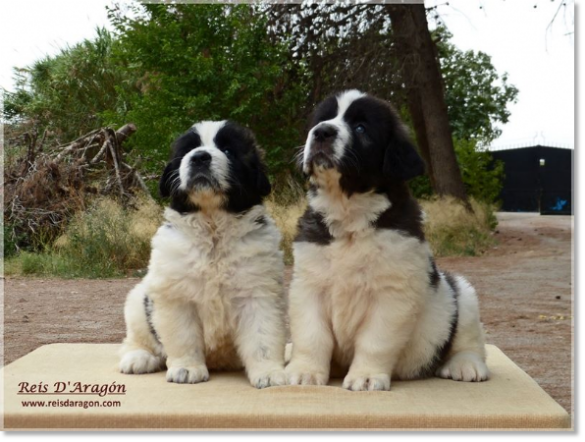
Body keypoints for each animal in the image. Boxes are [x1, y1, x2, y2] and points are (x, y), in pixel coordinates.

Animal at [118, 120, 286, 386]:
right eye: (188, 150)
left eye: (228, 150)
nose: (199, 157)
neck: (213, 227)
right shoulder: (176, 295)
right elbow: (183, 336)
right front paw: (186, 369)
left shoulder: (258, 292)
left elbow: (262, 337)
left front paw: (269, 373)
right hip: (137, 301)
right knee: (134, 339)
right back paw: (139, 358)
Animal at [284, 89, 488, 390]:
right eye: (322, 119)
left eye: (361, 128)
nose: (321, 132)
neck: (349, 217)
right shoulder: (309, 285)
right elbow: (311, 334)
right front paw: (304, 372)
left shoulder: (393, 293)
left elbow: (375, 340)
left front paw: (366, 376)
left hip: (462, 293)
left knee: (469, 339)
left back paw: (466, 365)